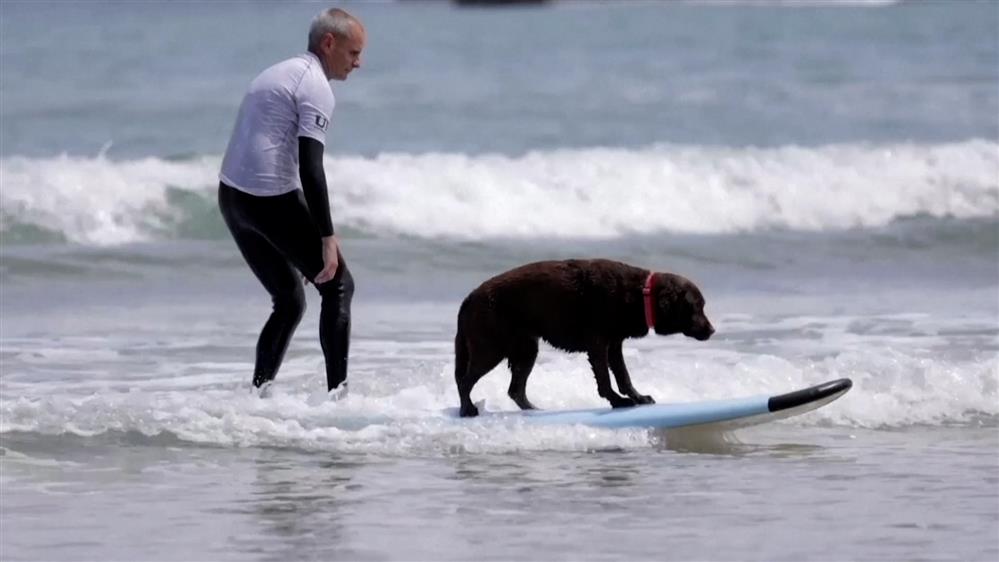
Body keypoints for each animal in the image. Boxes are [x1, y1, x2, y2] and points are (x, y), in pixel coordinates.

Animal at [458, 258, 716, 416]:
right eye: (696, 307)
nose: (712, 330)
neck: (639, 293)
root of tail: (470, 297)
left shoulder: (614, 345)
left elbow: (624, 376)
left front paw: (638, 397)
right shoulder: (599, 344)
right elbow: (605, 379)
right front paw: (617, 401)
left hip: (526, 350)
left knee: (516, 390)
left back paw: (534, 409)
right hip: (491, 349)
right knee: (464, 380)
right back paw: (467, 409)